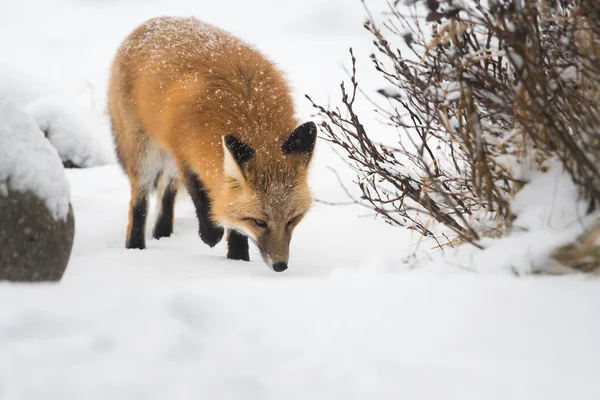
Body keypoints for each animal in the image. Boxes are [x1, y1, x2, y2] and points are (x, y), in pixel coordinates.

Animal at [107, 16, 316, 272]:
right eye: (259, 221)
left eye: (292, 220)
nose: (280, 266)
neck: (250, 115)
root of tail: (152, 22)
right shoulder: (184, 150)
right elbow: (200, 192)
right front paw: (211, 234)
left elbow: (234, 222)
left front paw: (238, 259)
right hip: (145, 154)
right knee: (139, 203)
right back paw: (135, 249)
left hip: (165, 162)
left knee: (166, 192)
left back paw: (163, 233)